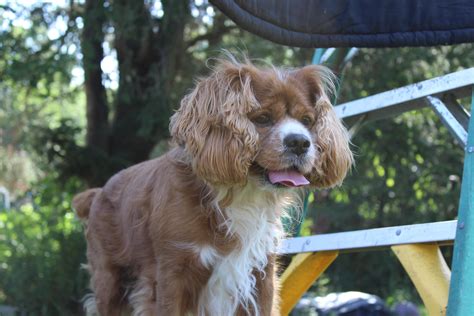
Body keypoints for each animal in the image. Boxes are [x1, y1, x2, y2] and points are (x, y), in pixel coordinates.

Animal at [72, 56, 350, 316]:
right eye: (263, 118)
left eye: (307, 120)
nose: (300, 143)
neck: (242, 193)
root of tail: (98, 192)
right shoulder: (171, 274)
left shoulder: (261, 275)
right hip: (109, 281)